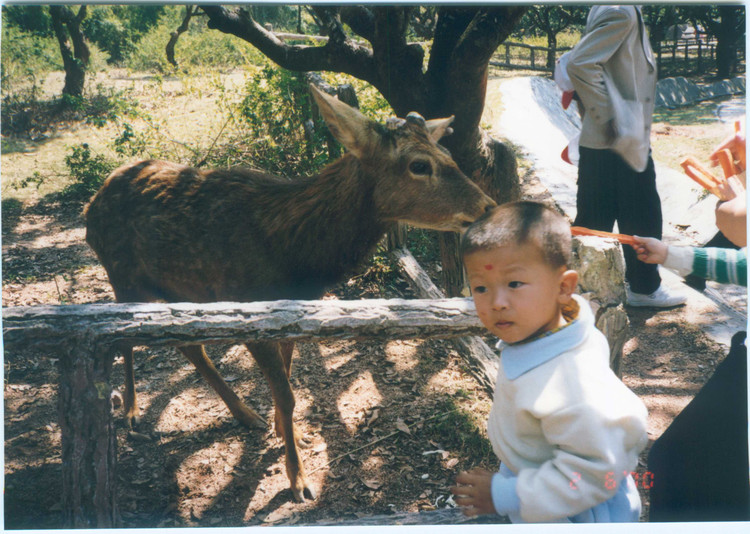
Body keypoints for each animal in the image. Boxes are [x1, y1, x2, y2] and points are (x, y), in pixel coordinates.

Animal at [83, 84, 500, 502]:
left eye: (448, 155)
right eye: (419, 165)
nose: (488, 207)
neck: (294, 258)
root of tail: (91, 203)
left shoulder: (290, 316)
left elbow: (284, 377)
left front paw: (286, 432)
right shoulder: (250, 313)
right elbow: (286, 394)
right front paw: (298, 479)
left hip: (179, 288)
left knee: (190, 347)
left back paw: (245, 414)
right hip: (122, 275)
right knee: (123, 337)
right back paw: (131, 409)